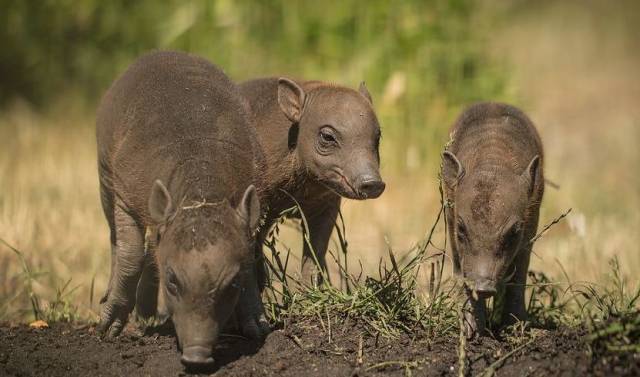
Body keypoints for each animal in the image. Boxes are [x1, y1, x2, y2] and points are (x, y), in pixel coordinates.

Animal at [95, 51, 264, 366]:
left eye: (232, 284)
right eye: (172, 282)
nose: (197, 357)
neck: (200, 195)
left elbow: (250, 257)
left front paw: (258, 328)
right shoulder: (124, 191)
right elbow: (131, 254)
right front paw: (106, 331)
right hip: (103, 171)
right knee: (115, 238)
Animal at [442, 102, 544, 334]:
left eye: (514, 232)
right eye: (461, 229)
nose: (484, 286)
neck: (493, 163)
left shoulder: (530, 224)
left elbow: (519, 273)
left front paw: (515, 327)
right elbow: (461, 271)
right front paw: (470, 330)